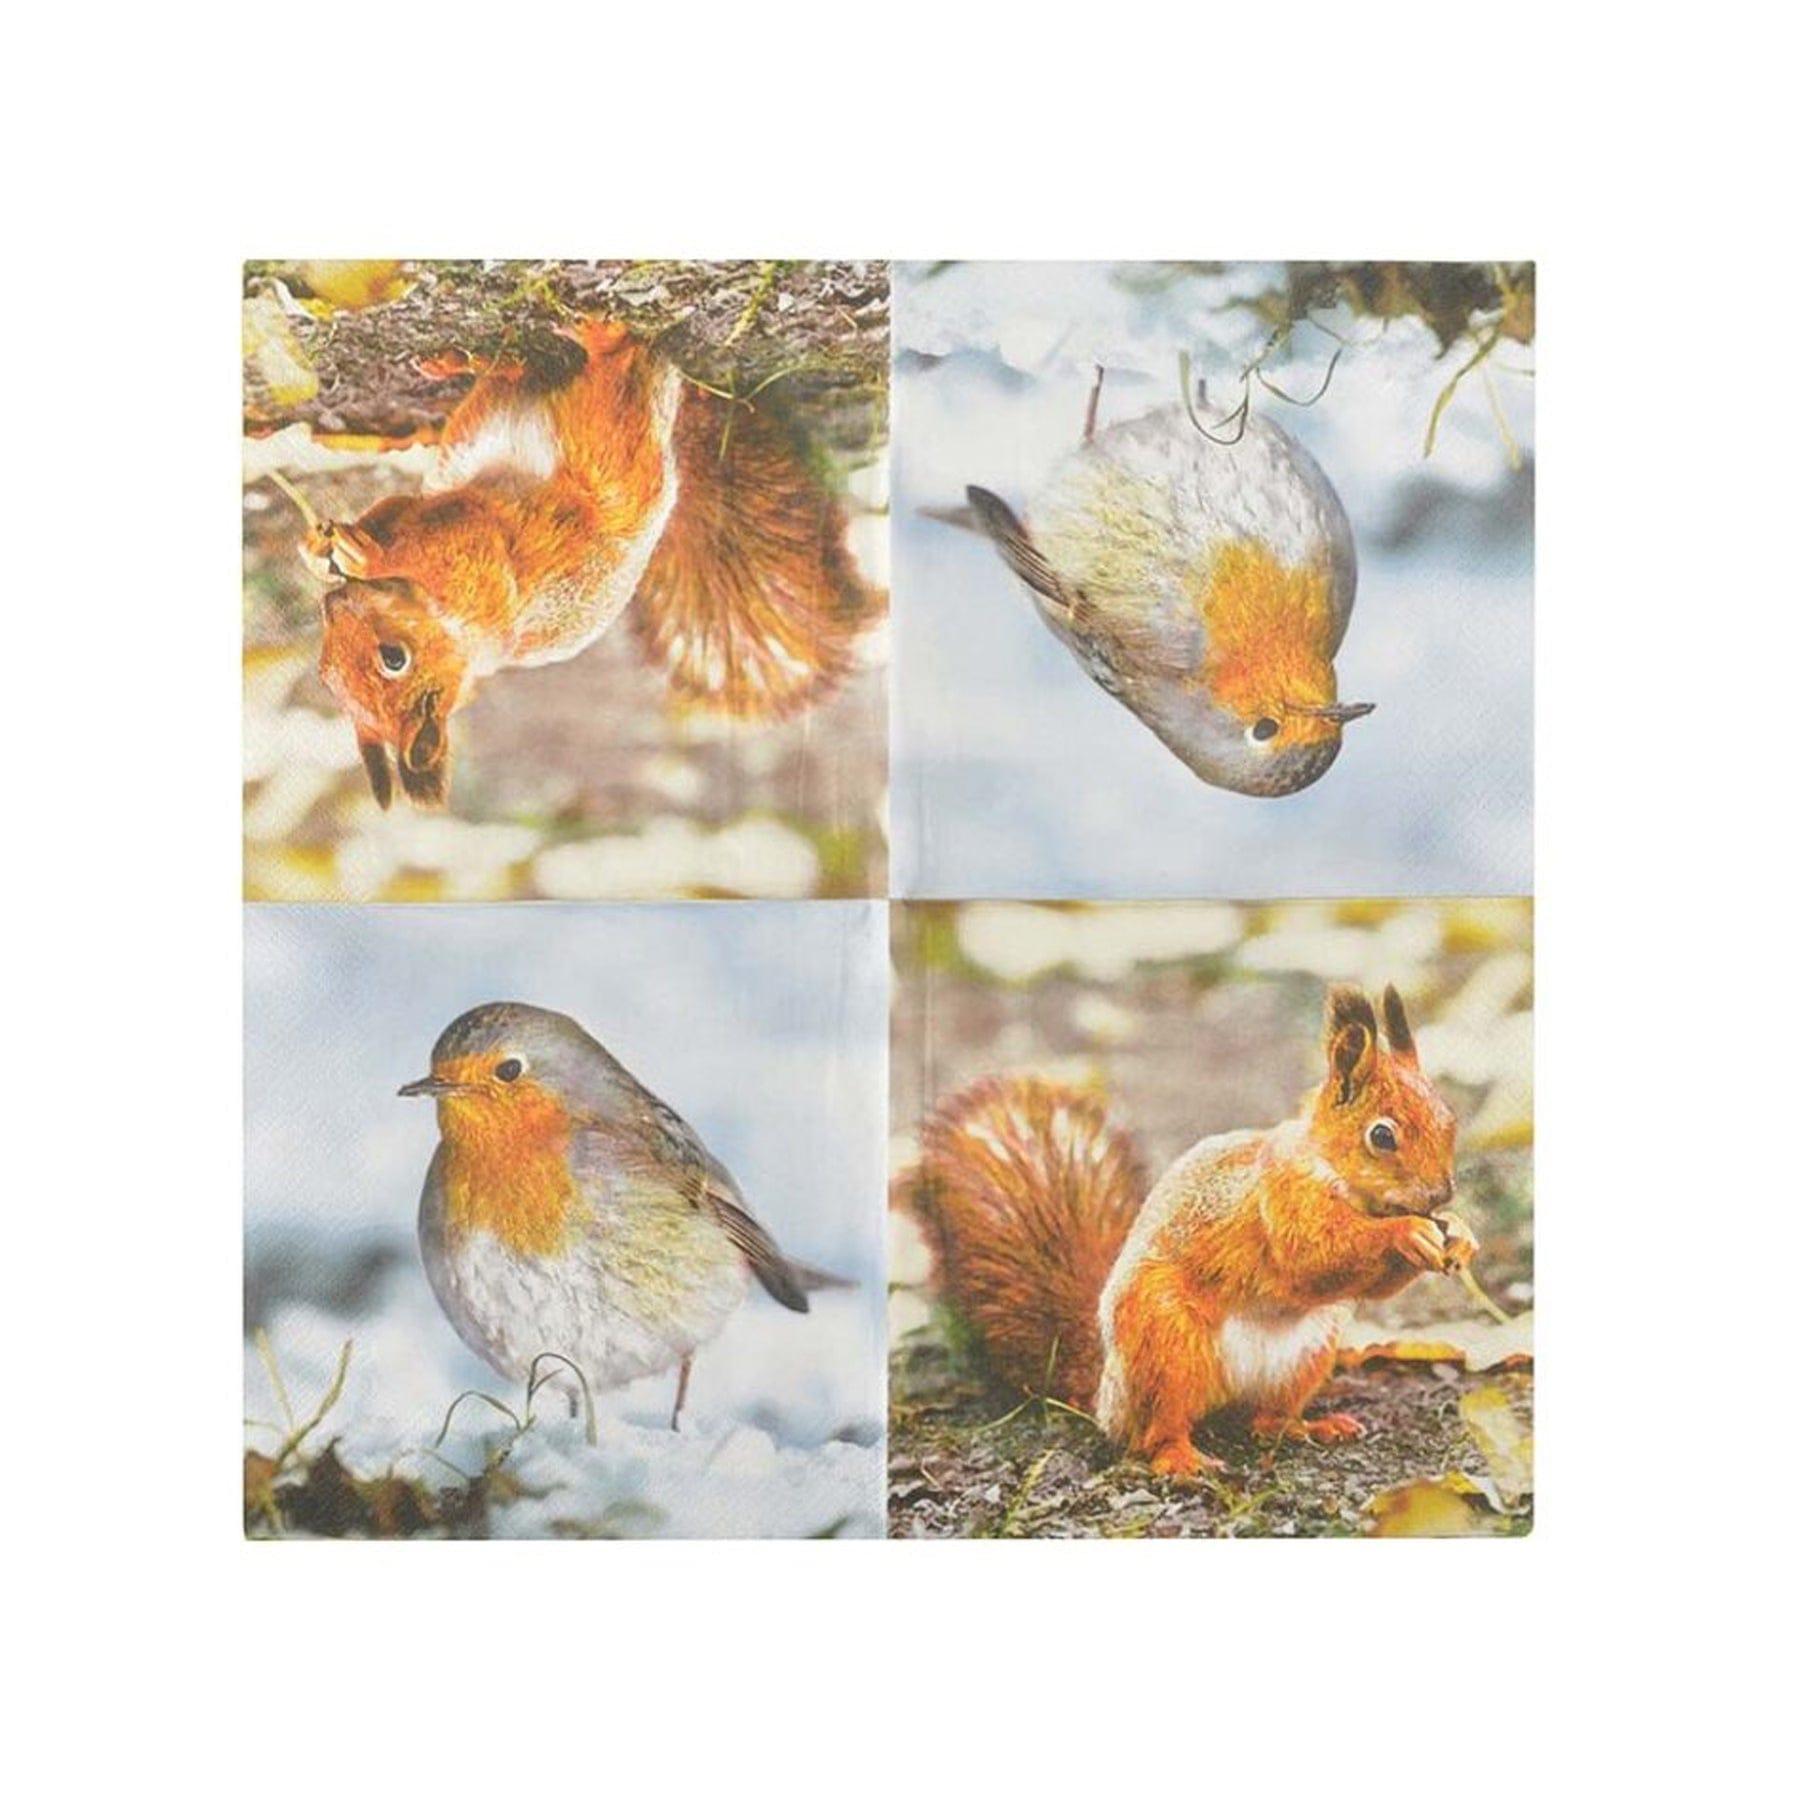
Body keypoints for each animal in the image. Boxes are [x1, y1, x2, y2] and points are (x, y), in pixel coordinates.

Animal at [295, 316, 877, 807]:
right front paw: (321, 551)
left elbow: (430, 539)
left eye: (394, 658)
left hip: (604, 442)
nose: (334, 604)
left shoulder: (475, 556)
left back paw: (591, 340)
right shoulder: (420, 511)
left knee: (612, 377)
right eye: (324, 677)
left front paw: (360, 554)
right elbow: (392, 509)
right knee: (530, 375)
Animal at [897, 982, 1479, 1478]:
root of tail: (1106, 1392)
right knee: (1154, 1432)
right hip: (1164, 1339)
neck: (1339, 1177)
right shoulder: (1281, 1200)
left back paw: (1308, 1426)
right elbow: (1314, 1256)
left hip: (1309, 1351)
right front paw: (1407, 1232)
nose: (1440, 1195)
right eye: (1381, 1136)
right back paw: (1182, 1459)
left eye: (1449, 1118)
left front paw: (1460, 1233)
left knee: (1263, 1421)